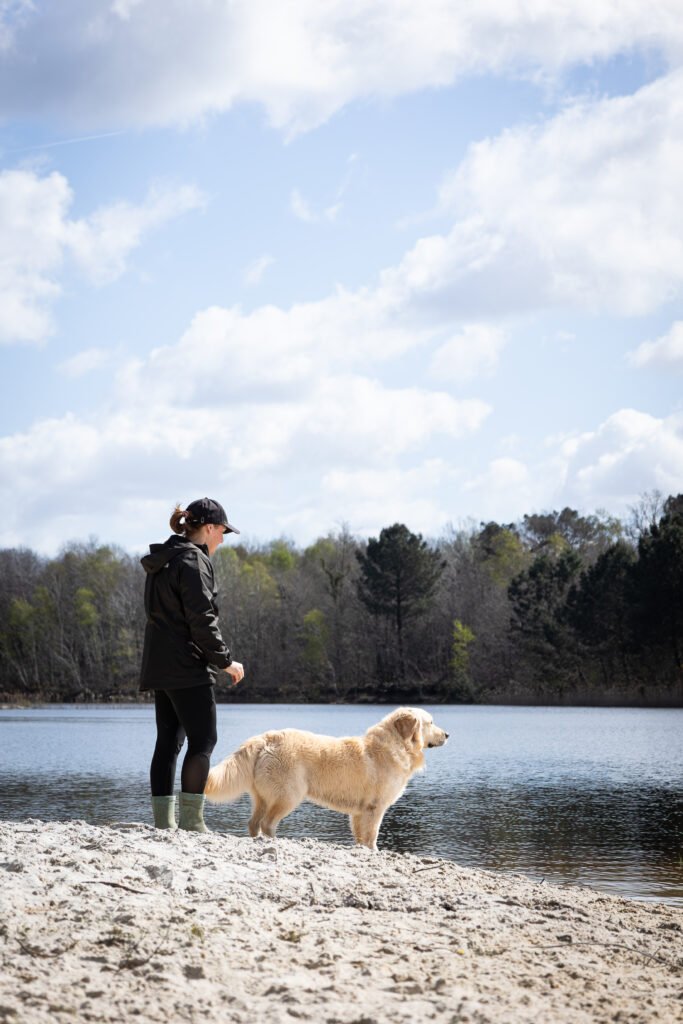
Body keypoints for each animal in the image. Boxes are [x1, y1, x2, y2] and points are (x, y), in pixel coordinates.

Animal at [202, 704, 448, 847]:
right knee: (266, 823)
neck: (396, 745)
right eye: (431, 722)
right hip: (289, 795)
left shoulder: (359, 812)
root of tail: (266, 737)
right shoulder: (375, 808)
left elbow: (361, 837)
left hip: (262, 796)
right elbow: (372, 836)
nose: (447, 734)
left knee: (254, 823)